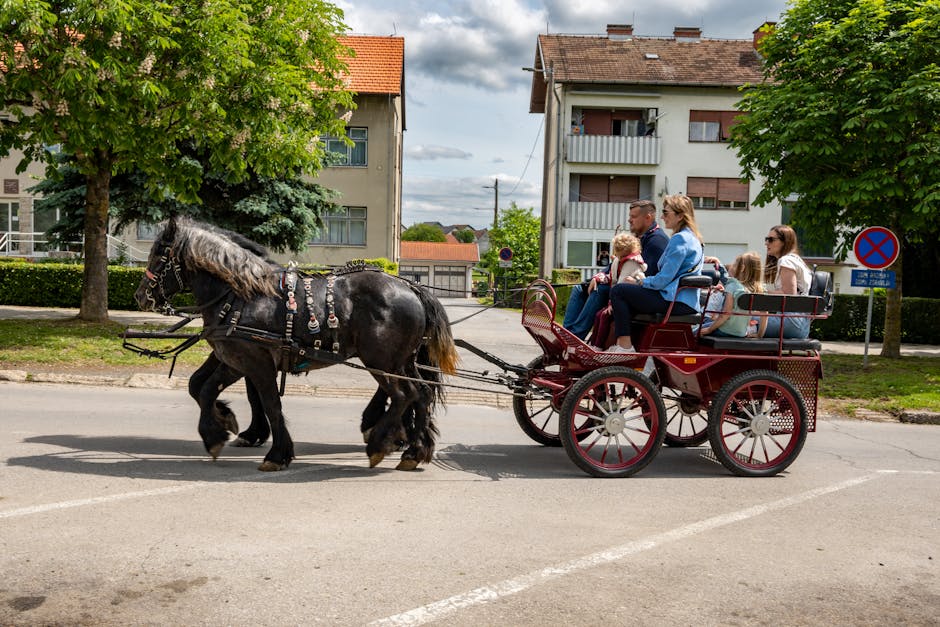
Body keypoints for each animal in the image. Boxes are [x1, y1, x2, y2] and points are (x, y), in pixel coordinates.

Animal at [136, 220, 458, 472]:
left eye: (159, 254)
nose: (140, 296)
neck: (242, 295)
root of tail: (412, 287)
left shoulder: (255, 362)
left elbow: (269, 403)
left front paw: (276, 454)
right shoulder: (234, 359)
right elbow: (203, 389)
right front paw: (219, 431)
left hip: (381, 361)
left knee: (404, 394)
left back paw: (380, 442)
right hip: (402, 361)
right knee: (421, 394)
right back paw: (414, 450)